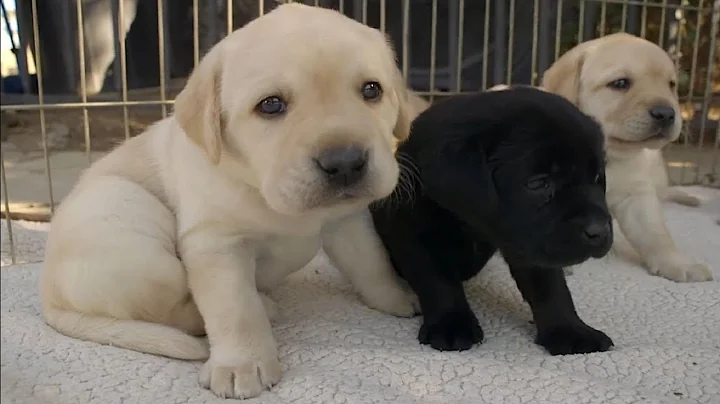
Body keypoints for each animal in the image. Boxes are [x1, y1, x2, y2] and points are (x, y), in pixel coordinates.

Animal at [42, 3, 420, 400]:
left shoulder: (347, 221)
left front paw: (396, 296)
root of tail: (49, 297)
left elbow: (372, 261)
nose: (345, 162)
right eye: (271, 105)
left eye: (372, 90)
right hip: (130, 223)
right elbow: (234, 309)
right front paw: (243, 364)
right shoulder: (217, 245)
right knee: (173, 311)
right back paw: (262, 307)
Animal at [372, 87, 612, 356]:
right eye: (538, 183)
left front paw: (570, 330)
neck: (474, 228)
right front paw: (452, 325)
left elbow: (551, 287)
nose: (599, 231)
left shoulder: (526, 244)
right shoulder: (414, 236)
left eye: (597, 177)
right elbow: (438, 281)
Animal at [544, 33, 712, 282]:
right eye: (620, 83)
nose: (667, 113)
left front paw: (677, 262)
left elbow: (655, 233)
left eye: (671, 84)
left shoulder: (636, 194)